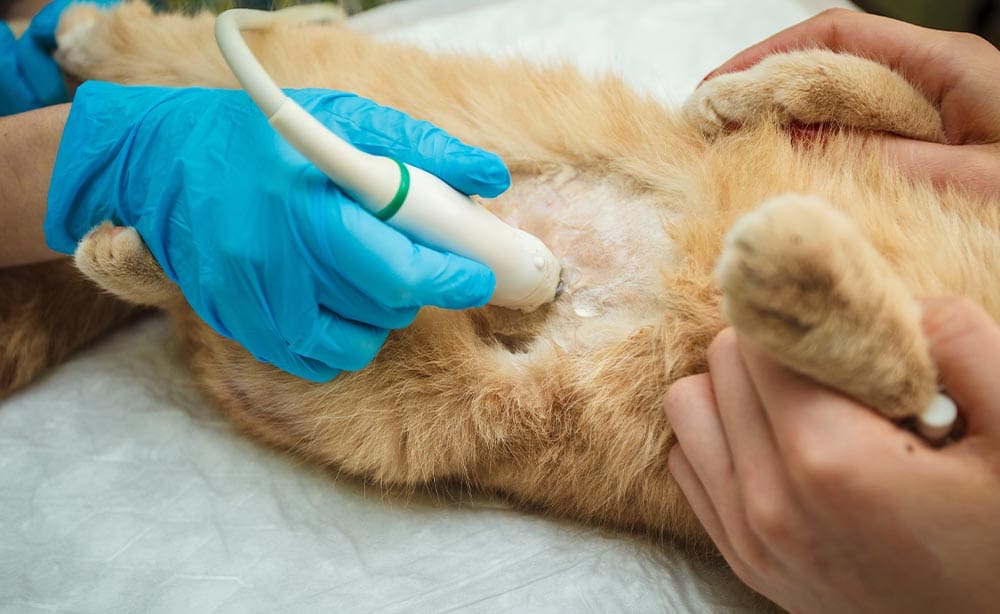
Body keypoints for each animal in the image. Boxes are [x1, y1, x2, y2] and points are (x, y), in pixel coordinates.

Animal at [3, 3, 996, 552]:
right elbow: (892, 94)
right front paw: (745, 93)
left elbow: (909, 372)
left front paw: (794, 270)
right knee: (156, 64)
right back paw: (81, 50)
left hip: (388, 401)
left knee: (204, 291)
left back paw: (142, 231)